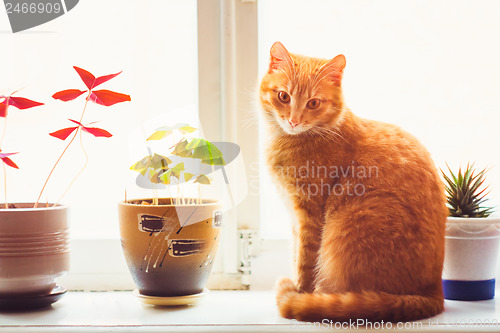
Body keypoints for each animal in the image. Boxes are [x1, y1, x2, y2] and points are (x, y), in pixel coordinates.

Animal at [260, 42, 448, 322]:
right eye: (284, 97)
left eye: (313, 103)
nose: (294, 121)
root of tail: (435, 293)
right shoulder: (294, 216)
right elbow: (295, 254)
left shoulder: (309, 213)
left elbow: (305, 260)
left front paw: (300, 293)